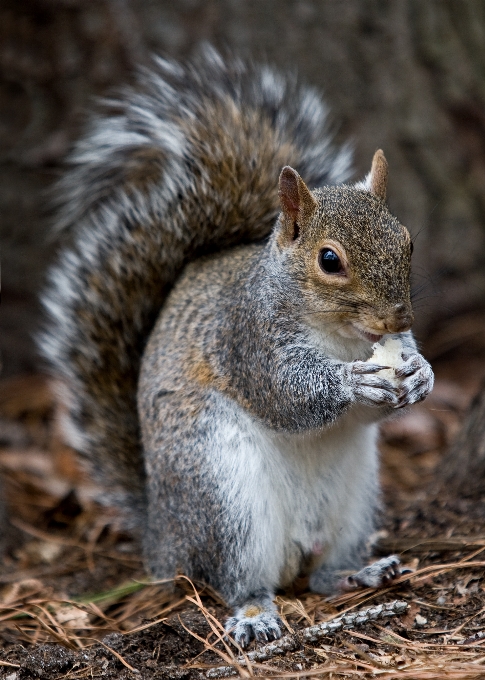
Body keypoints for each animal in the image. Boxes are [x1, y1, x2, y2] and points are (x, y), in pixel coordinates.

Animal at [37, 47, 432, 648]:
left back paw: (357, 572)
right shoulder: (247, 338)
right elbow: (285, 396)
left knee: (321, 575)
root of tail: (164, 541)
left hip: (356, 500)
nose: (401, 317)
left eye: (406, 241)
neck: (340, 334)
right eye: (330, 260)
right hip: (222, 493)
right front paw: (351, 381)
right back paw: (254, 615)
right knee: (235, 577)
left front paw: (422, 373)